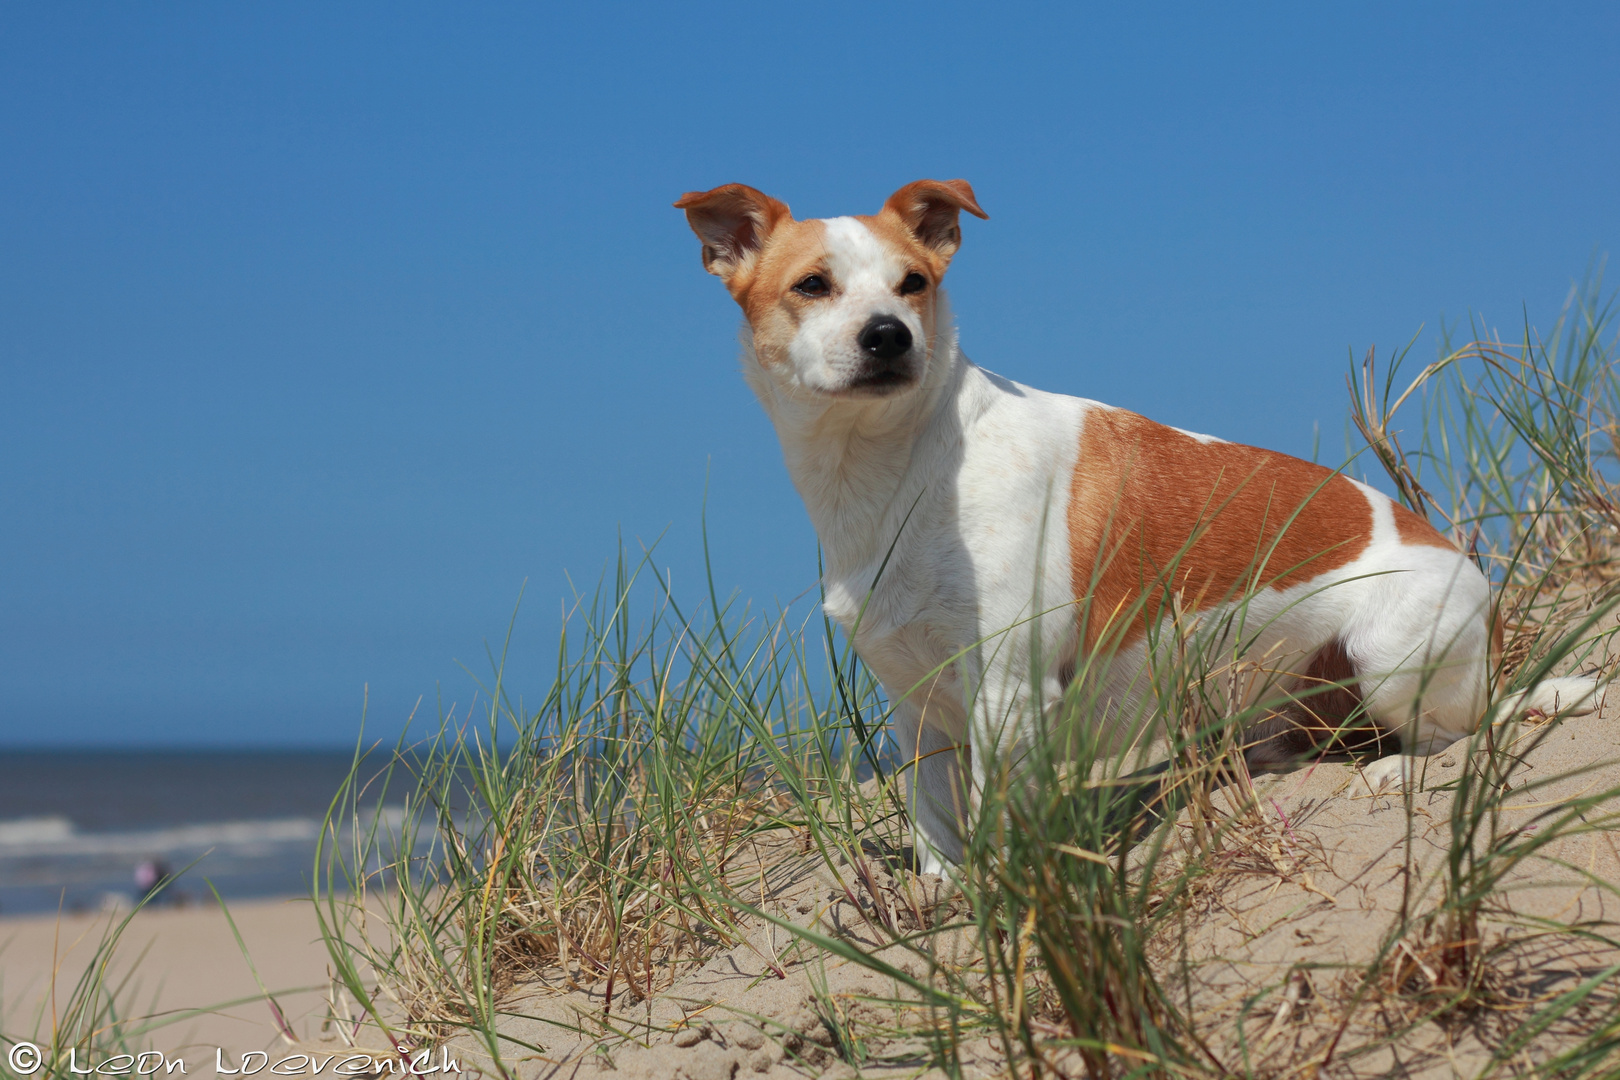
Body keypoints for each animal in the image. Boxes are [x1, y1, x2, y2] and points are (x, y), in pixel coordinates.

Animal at [670, 175, 1594, 867]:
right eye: (812, 285)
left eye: (914, 284)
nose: (890, 336)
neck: (897, 470)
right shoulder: (919, 706)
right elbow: (934, 822)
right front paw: (940, 903)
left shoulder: (1009, 694)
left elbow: (1002, 833)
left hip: (1391, 655)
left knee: (1455, 738)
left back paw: (1395, 773)